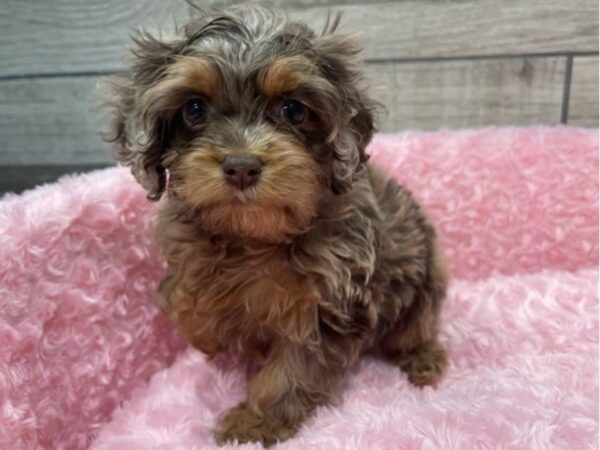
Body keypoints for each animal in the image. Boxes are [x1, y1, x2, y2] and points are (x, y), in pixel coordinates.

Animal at [103, 4, 448, 446]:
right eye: (194, 109)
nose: (241, 167)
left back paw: (424, 357)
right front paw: (214, 333)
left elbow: (292, 369)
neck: (255, 234)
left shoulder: (328, 299)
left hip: (424, 282)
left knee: (415, 328)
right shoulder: (189, 255)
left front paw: (256, 422)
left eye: (293, 110)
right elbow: (190, 303)